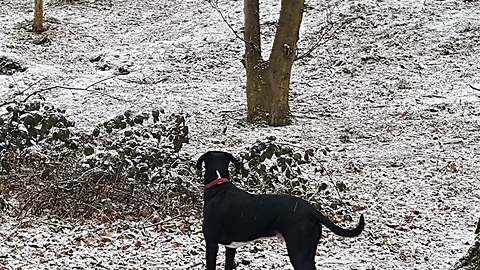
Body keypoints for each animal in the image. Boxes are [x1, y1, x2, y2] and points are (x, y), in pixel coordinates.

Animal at [195, 151, 364, 268]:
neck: (218, 186)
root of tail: (312, 210)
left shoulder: (211, 243)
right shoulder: (230, 248)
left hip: (299, 253)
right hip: (307, 252)